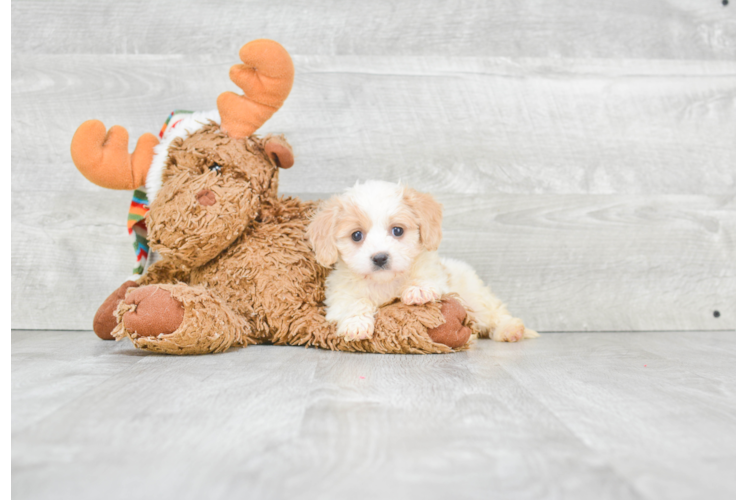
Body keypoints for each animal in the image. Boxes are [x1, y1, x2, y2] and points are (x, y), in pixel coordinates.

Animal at [306, 182, 536, 346]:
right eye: (356, 235)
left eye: (397, 230)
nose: (380, 257)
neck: (385, 283)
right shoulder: (339, 297)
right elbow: (354, 302)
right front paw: (356, 323)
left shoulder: (437, 277)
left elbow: (425, 278)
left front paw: (418, 289)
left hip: (475, 296)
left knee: (494, 313)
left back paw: (510, 329)